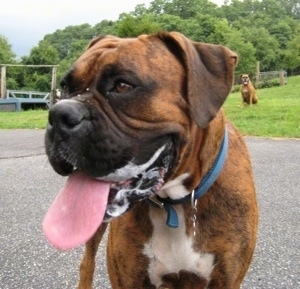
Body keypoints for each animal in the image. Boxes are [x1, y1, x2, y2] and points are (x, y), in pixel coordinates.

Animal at [42, 32, 258, 288]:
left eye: (123, 86)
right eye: (65, 87)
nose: (58, 114)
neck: (175, 204)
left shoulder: (226, 279)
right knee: (87, 263)